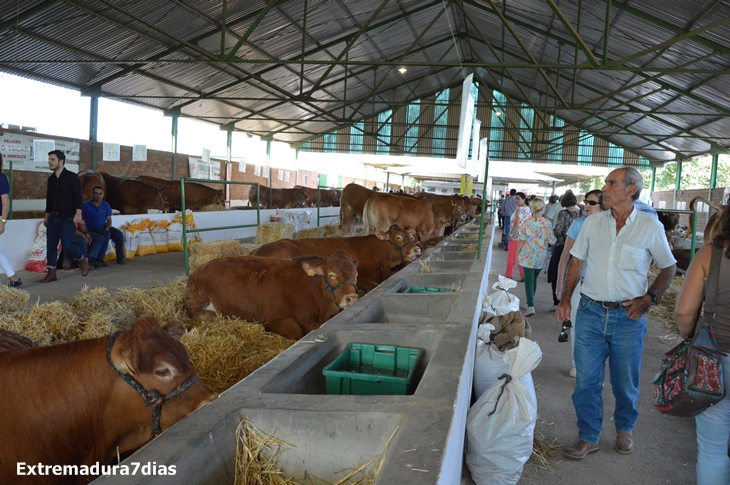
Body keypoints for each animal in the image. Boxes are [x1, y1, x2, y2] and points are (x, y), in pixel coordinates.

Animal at [185, 251, 358, 338]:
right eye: (332, 275)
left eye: (356, 274)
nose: (352, 298)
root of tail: (199, 268)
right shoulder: (272, 318)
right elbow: (296, 331)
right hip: (197, 299)